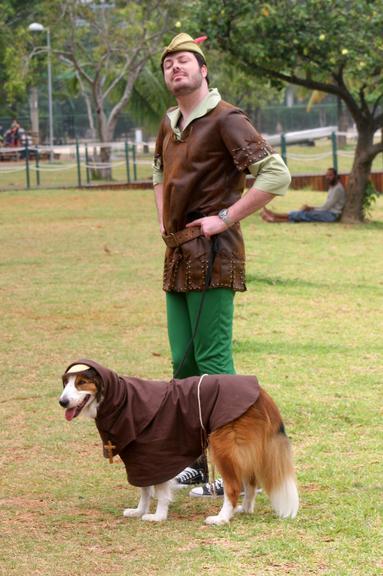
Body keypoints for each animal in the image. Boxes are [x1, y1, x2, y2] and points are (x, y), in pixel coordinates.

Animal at [60, 360, 300, 528]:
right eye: (66, 383)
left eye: (81, 383)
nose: (62, 401)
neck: (121, 400)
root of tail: (260, 393)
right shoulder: (139, 459)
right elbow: (144, 490)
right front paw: (139, 511)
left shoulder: (155, 454)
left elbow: (159, 491)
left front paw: (158, 516)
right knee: (250, 482)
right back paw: (245, 509)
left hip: (223, 447)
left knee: (234, 487)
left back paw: (222, 518)